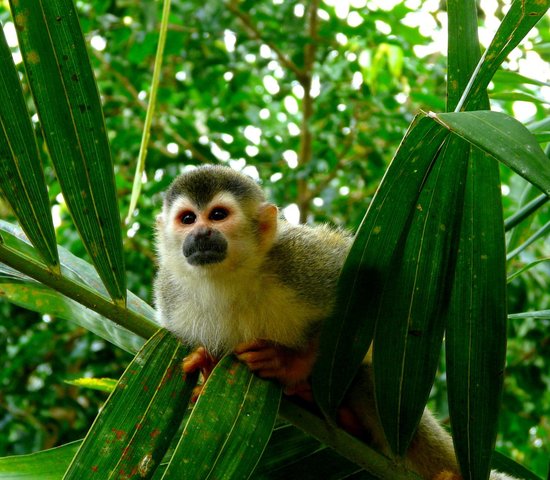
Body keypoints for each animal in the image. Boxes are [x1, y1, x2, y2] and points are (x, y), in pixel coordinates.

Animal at [156, 165, 520, 480]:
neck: (230, 278)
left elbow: (377, 288)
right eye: (187, 219)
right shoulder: (171, 300)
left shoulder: (298, 260)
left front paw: (290, 363)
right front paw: (207, 367)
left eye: (218, 215)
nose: (201, 232)